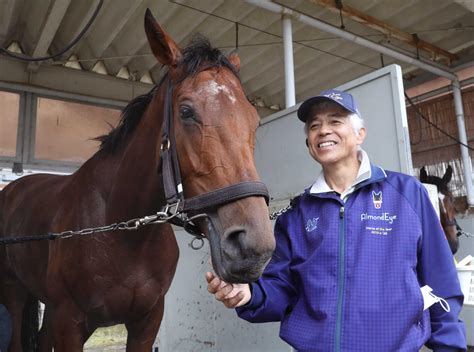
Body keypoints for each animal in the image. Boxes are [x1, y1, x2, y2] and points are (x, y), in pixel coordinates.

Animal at [0, 9, 274, 350]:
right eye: (186, 112)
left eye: (255, 120)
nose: (253, 247)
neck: (121, 231)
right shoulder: (69, 322)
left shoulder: (147, 321)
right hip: (15, 294)